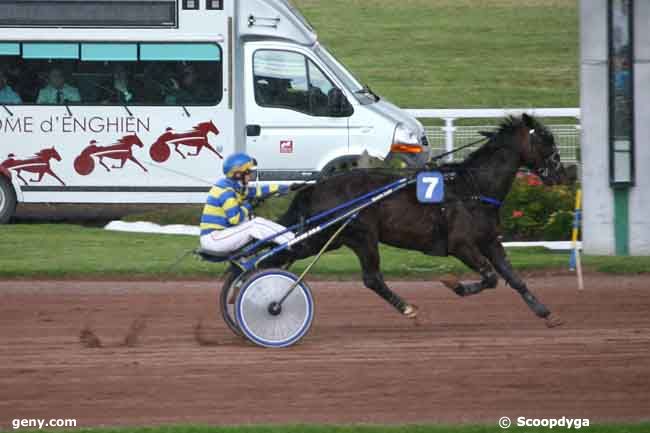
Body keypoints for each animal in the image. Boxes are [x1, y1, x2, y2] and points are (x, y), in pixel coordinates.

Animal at [260, 115, 564, 328]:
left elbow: (513, 277)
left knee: (281, 254)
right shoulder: (461, 244)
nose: (562, 172)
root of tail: (316, 186)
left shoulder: (489, 241)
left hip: (328, 238)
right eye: (546, 140)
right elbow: (490, 277)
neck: (472, 188)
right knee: (372, 278)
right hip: (360, 236)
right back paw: (407, 308)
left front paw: (545, 313)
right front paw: (454, 284)